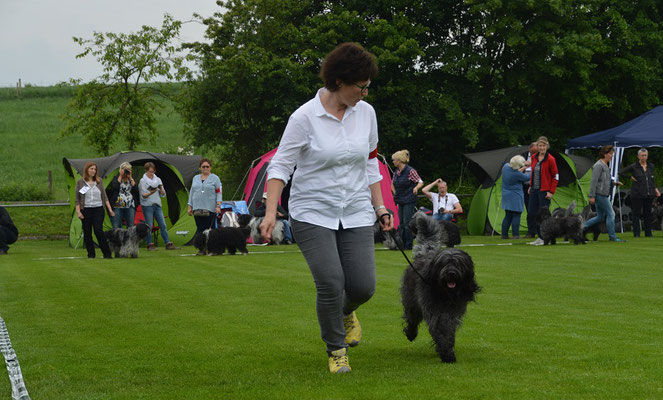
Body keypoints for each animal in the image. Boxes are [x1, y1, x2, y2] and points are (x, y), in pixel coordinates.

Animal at [400, 212, 478, 362]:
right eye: (444, 263)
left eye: (458, 263)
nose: (451, 273)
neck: (446, 294)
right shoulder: (434, 312)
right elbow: (440, 330)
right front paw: (446, 353)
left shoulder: (452, 313)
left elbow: (449, 330)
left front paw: (447, 349)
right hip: (411, 300)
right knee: (412, 318)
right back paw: (411, 334)